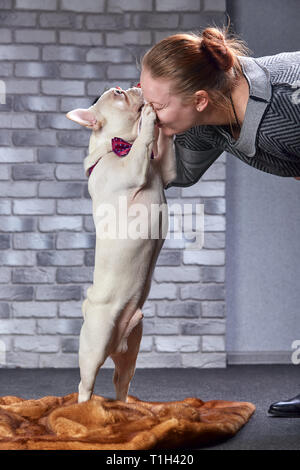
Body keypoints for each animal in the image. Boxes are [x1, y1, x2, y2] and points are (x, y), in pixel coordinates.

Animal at [65, 86, 176, 402]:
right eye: (118, 94)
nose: (133, 86)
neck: (116, 146)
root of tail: (117, 343)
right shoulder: (132, 168)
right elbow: (143, 143)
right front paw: (149, 117)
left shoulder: (166, 171)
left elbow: (163, 148)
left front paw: (164, 125)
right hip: (95, 343)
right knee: (85, 383)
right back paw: (85, 408)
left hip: (131, 350)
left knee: (121, 380)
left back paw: (126, 408)